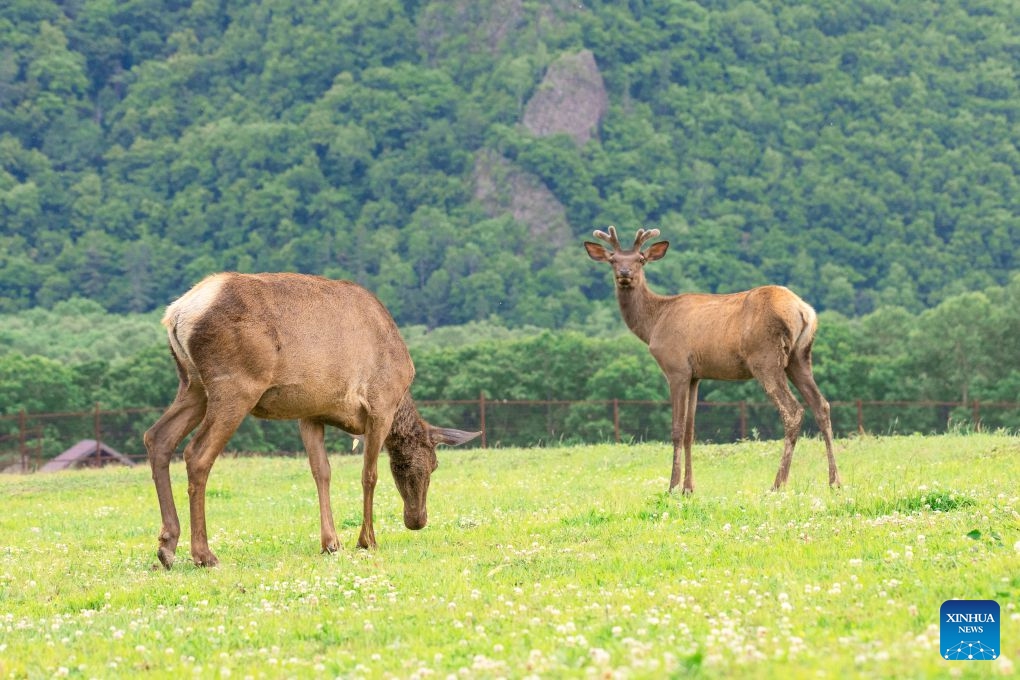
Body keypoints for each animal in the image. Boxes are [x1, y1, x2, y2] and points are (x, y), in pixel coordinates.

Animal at [143, 272, 481, 569]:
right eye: (431, 464)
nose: (417, 520)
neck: (401, 399)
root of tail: (176, 314)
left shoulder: (310, 413)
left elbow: (322, 472)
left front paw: (331, 542)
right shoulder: (380, 406)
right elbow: (368, 474)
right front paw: (366, 540)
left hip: (193, 385)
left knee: (157, 437)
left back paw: (167, 546)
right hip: (234, 387)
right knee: (196, 454)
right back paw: (204, 554)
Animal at [584, 226, 841, 494]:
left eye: (640, 259)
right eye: (613, 259)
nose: (625, 273)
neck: (653, 324)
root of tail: (805, 311)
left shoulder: (676, 368)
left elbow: (677, 429)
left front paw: (672, 486)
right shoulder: (695, 375)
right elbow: (690, 430)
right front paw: (689, 488)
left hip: (766, 358)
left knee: (793, 410)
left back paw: (778, 484)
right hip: (799, 358)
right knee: (821, 405)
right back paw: (834, 481)